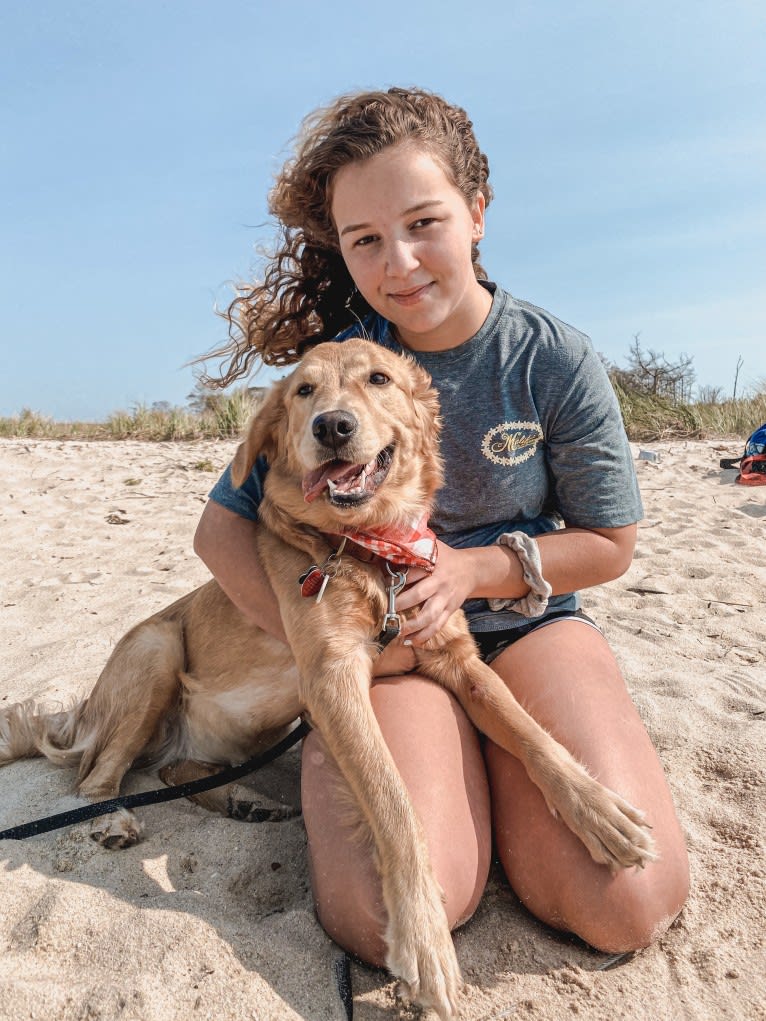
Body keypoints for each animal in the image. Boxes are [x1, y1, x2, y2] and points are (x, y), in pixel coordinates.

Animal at [3, 341, 657, 1021]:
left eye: (379, 378)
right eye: (303, 392)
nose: (333, 427)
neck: (375, 550)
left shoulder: (458, 658)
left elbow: (531, 731)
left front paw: (600, 809)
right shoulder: (335, 682)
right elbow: (396, 803)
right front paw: (424, 940)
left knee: (171, 770)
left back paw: (243, 800)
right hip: (157, 650)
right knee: (94, 776)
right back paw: (113, 818)